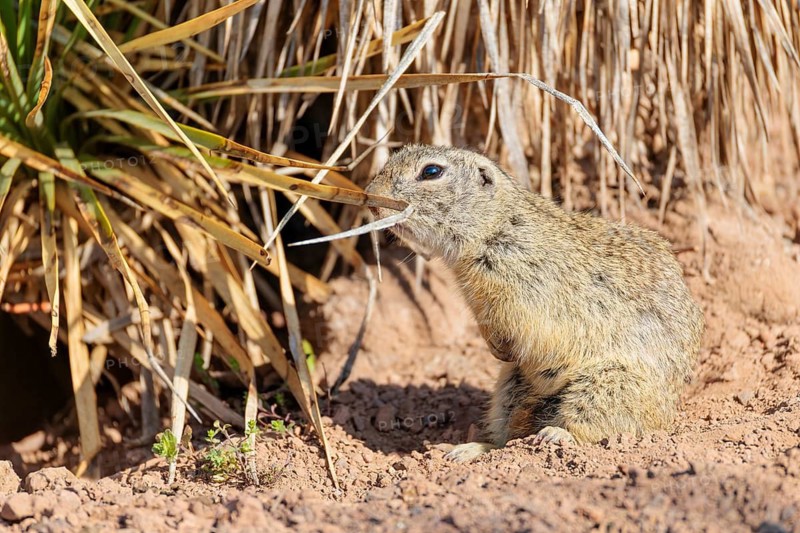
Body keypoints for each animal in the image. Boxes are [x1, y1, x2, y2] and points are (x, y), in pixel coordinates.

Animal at [365, 145, 705, 462]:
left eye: (431, 171)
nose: (370, 196)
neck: (497, 224)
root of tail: (669, 412)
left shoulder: (522, 296)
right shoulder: (483, 304)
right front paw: (496, 349)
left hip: (606, 384)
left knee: (602, 425)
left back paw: (556, 435)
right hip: (511, 388)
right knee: (507, 435)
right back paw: (467, 449)